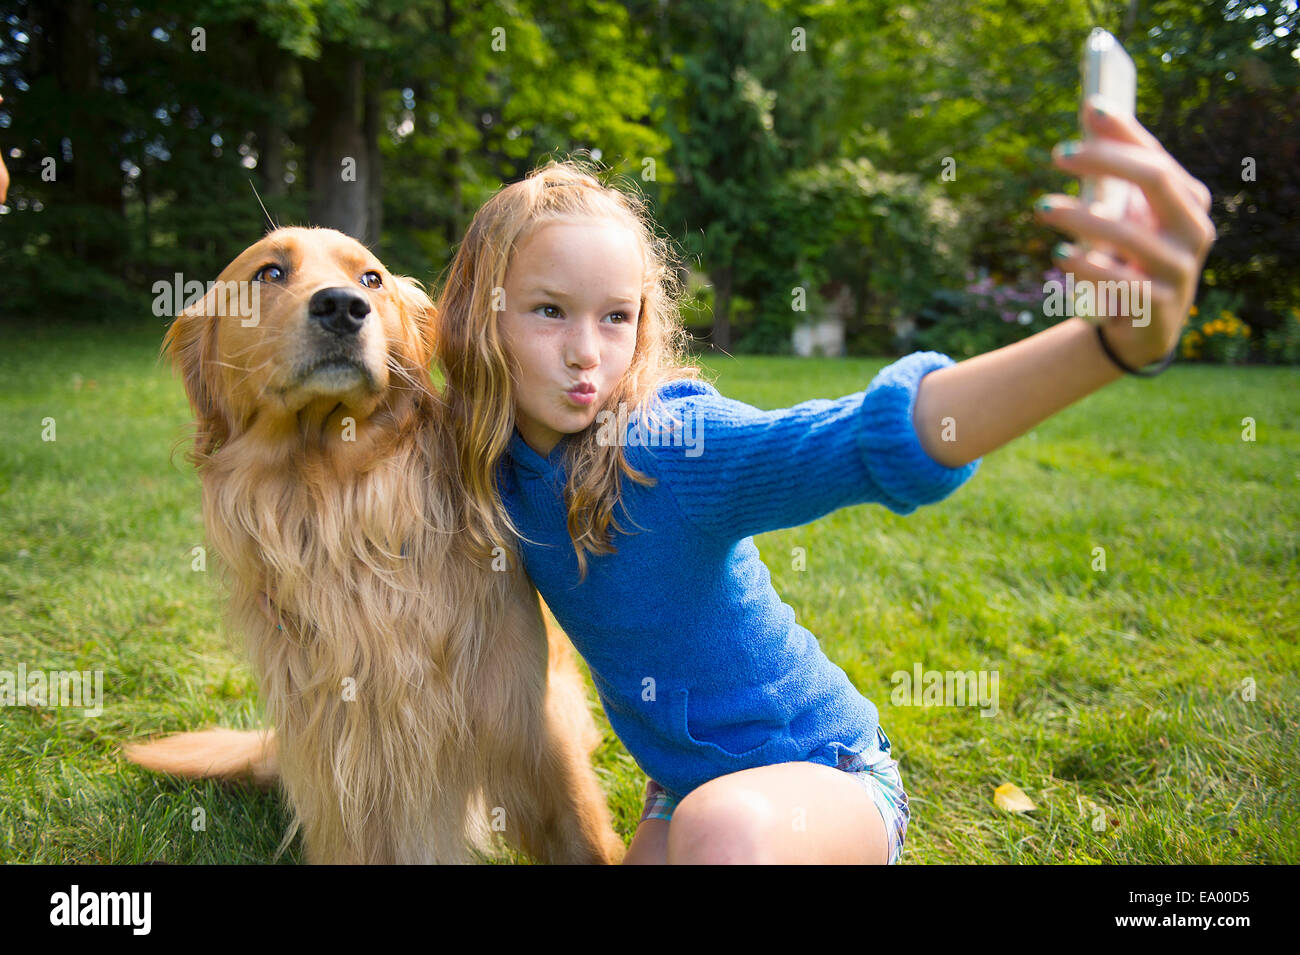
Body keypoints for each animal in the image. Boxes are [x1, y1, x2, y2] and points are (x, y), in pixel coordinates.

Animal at [122, 226, 624, 867]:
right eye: (269, 273)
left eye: (371, 279)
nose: (342, 306)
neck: (334, 501)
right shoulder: (337, 758)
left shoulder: (528, 718)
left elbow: (584, 834)